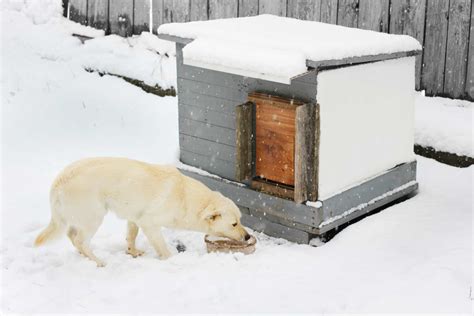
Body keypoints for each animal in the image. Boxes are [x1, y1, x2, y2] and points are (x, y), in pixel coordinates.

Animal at [34, 157, 250, 266]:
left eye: (241, 220)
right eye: (234, 223)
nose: (248, 237)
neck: (185, 198)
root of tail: (58, 182)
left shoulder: (134, 218)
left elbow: (131, 236)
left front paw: (133, 252)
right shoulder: (150, 223)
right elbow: (163, 248)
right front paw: (170, 261)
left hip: (79, 218)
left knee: (72, 236)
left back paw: (85, 257)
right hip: (94, 217)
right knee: (80, 240)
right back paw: (99, 261)